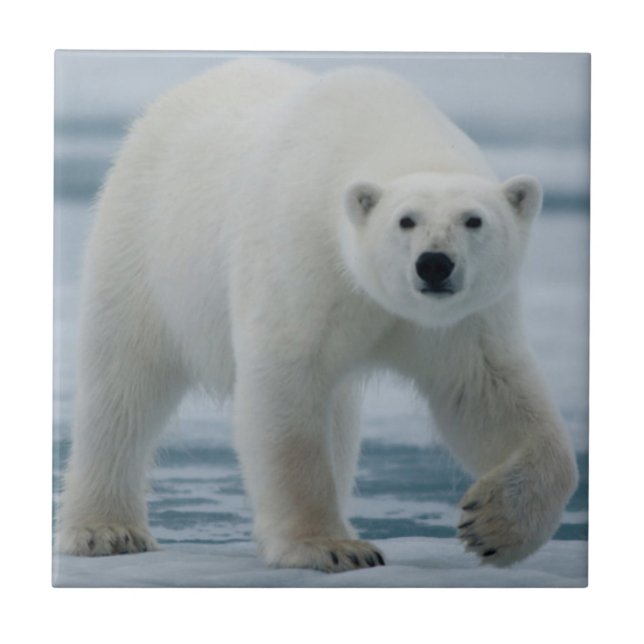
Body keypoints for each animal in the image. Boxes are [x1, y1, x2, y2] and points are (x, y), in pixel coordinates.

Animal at [57, 58, 578, 572]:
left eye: (474, 220)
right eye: (405, 220)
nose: (434, 264)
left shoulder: (462, 321)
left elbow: (485, 391)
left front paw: (494, 525)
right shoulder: (303, 256)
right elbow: (288, 389)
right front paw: (330, 546)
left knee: (341, 419)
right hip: (144, 247)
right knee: (123, 386)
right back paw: (106, 530)